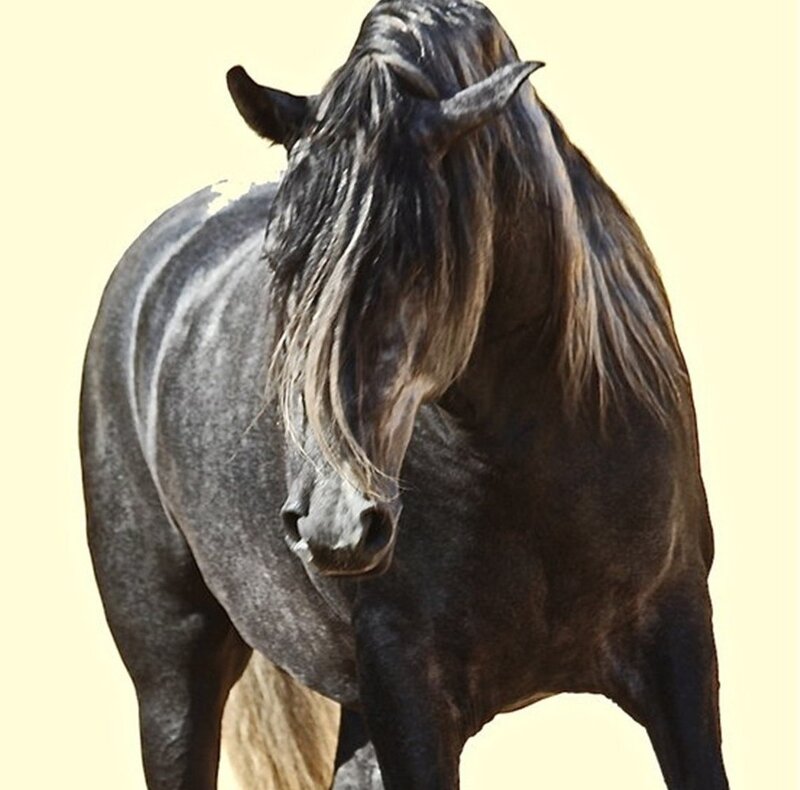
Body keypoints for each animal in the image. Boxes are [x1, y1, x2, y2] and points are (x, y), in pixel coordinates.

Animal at [80, 1, 729, 787]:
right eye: (279, 258)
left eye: (415, 257)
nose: (334, 522)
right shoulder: (408, 695)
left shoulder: (679, 653)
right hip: (174, 673)